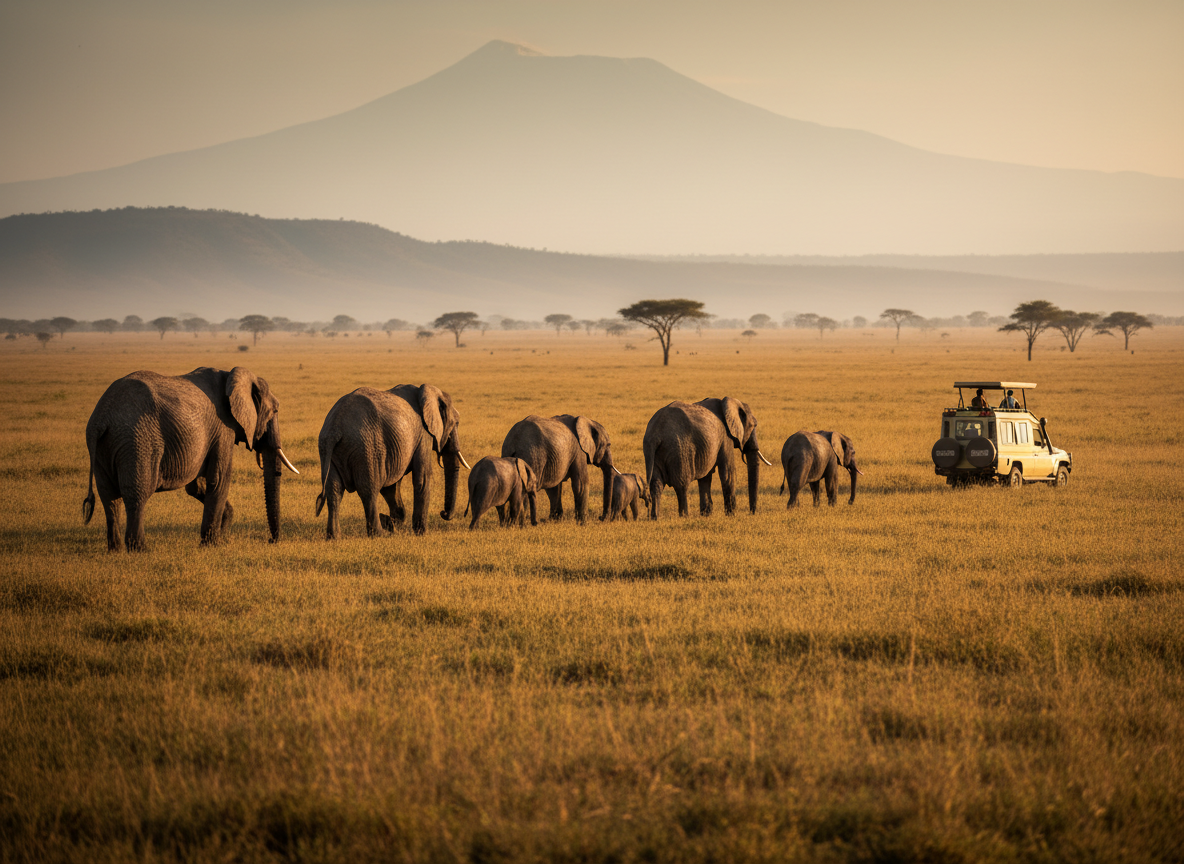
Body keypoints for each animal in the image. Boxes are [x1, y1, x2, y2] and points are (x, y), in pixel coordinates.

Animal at [82, 366, 299, 551]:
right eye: (275, 411)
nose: (271, 541)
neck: (231, 376)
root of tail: (101, 418)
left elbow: (197, 486)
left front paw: (223, 532)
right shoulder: (223, 428)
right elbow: (219, 479)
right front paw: (213, 544)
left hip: (106, 447)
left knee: (109, 496)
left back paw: (115, 550)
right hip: (137, 440)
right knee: (137, 493)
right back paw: (140, 550)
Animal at [315, 383, 470, 537]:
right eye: (456, 423)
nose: (443, 513)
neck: (426, 391)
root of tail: (335, 427)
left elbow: (391, 487)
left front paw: (391, 523)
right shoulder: (423, 435)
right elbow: (422, 478)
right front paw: (421, 533)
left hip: (329, 450)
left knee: (334, 491)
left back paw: (334, 537)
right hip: (367, 447)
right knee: (369, 491)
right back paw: (379, 534)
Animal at [642, 397, 773, 519]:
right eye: (754, 425)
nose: (751, 513)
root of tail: (656, 433)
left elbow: (705, 477)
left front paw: (706, 515)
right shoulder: (725, 437)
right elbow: (727, 473)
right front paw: (731, 516)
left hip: (652, 451)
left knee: (656, 484)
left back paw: (655, 517)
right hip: (679, 448)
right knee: (681, 485)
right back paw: (684, 516)